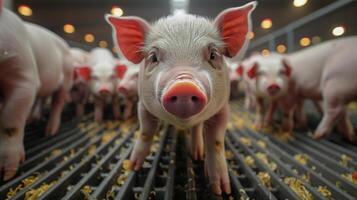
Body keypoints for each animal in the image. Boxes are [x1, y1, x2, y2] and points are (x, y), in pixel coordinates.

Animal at [105, 1, 256, 195]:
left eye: (213, 54)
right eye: (153, 57)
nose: (184, 85)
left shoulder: (223, 108)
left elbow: (216, 142)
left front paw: (221, 190)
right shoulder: (143, 104)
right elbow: (146, 130)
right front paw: (134, 166)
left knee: (198, 128)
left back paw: (197, 154)